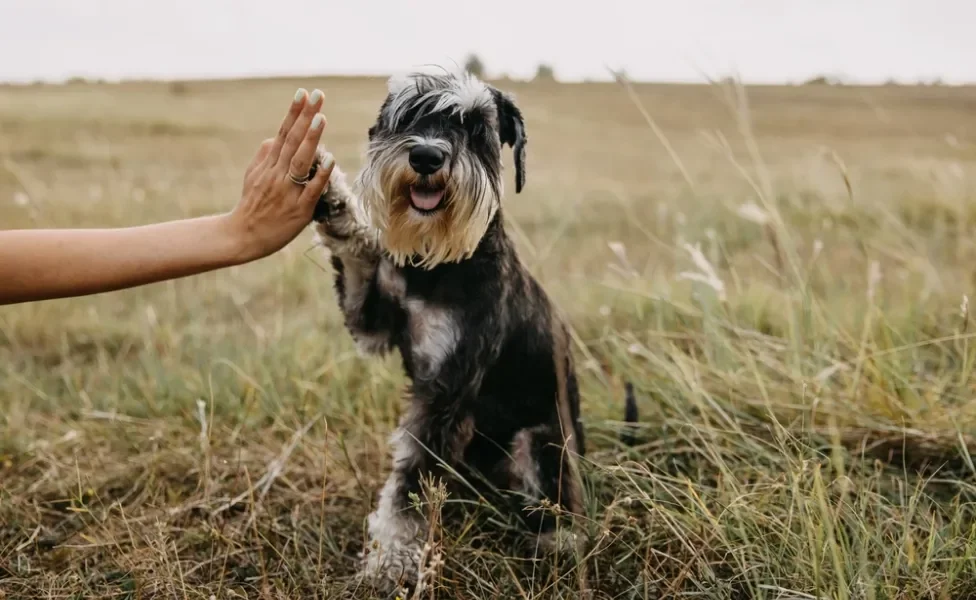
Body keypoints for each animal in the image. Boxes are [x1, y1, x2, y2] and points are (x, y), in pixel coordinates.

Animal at [306, 68, 632, 592]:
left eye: (477, 126)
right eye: (407, 115)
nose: (426, 156)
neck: (437, 264)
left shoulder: (448, 389)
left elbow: (411, 486)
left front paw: (391, 561)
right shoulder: (372, 321)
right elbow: (358, 253)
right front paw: (333, 200)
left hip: (539, 443)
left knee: (559, 509)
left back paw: (553, 546)